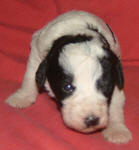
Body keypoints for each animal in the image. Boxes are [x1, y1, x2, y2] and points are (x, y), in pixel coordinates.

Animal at [5, 10, 132, 144]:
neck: (76, 33)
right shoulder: (37, 50)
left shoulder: (116, 74)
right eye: (68, 87)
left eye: (104, 86)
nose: (91, 120)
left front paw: (117, 129)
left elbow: (115, 103)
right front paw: (21, 97)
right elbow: (30, 76)